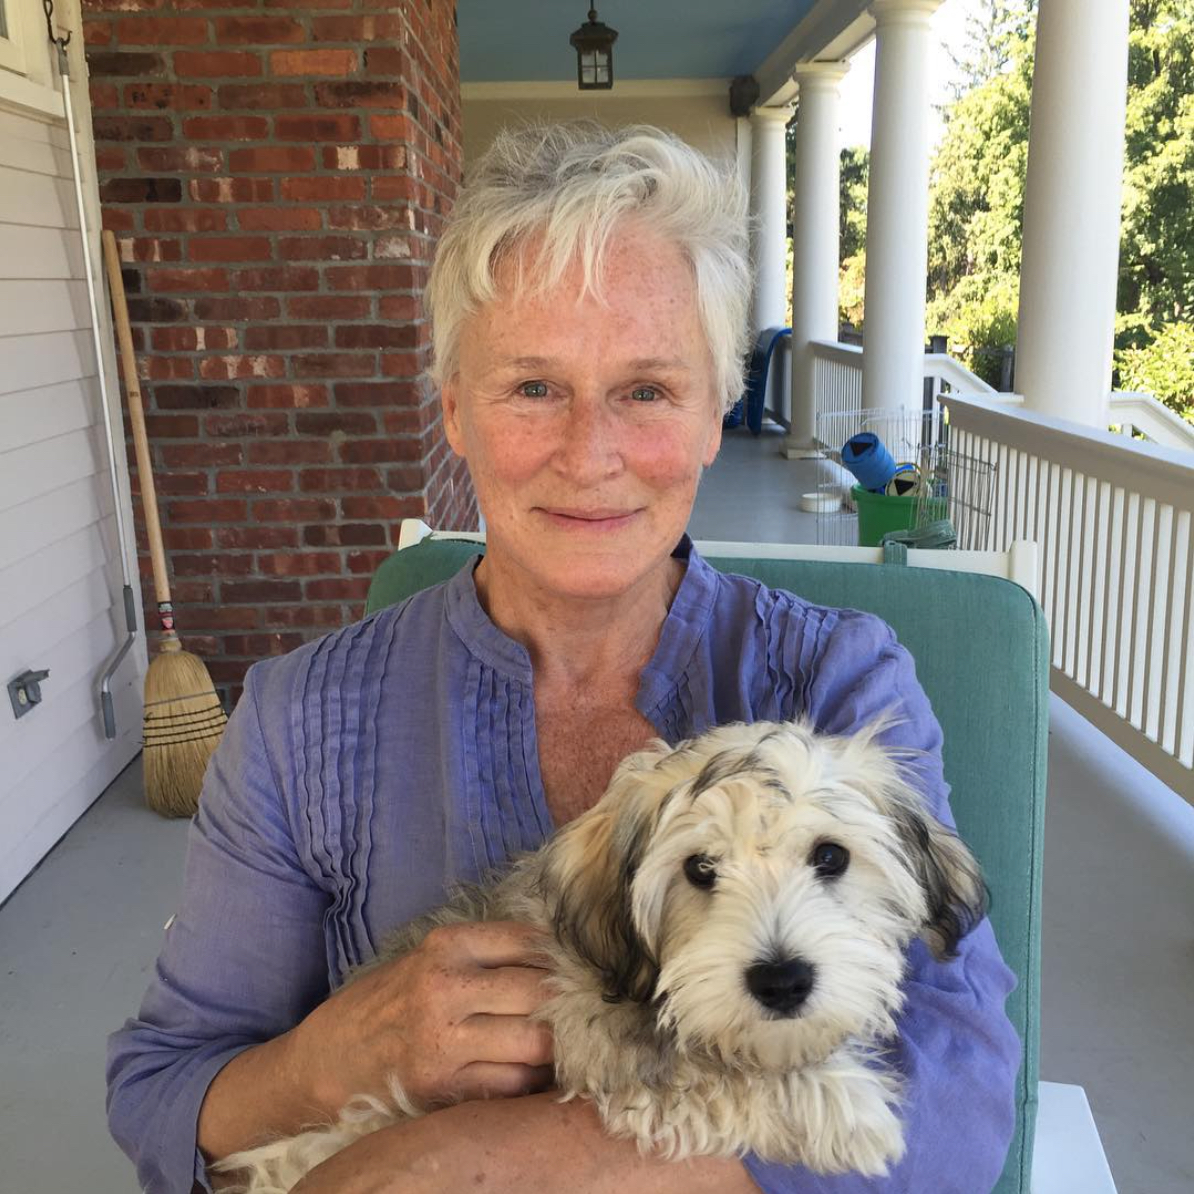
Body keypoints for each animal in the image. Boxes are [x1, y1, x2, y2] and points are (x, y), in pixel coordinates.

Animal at [212, 711, 979, 1189]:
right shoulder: (608, 1056)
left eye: (830, 856)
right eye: (700, 869)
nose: (782, 981)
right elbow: (710, 1078)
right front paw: (848, 1108)